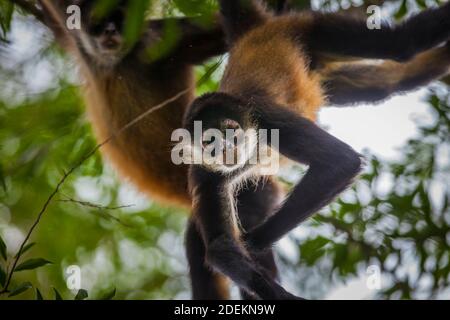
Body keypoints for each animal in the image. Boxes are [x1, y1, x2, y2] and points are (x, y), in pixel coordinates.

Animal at [185, 0, 450, 300]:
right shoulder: (202, 169)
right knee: (389, 83)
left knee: (402, 43)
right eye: (209, 141)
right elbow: (220, 247)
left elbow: (340, 162)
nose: (226, 147)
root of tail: (255, 32)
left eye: (230, 131)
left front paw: (252, 243)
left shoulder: (268, 117)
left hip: (310, 28)